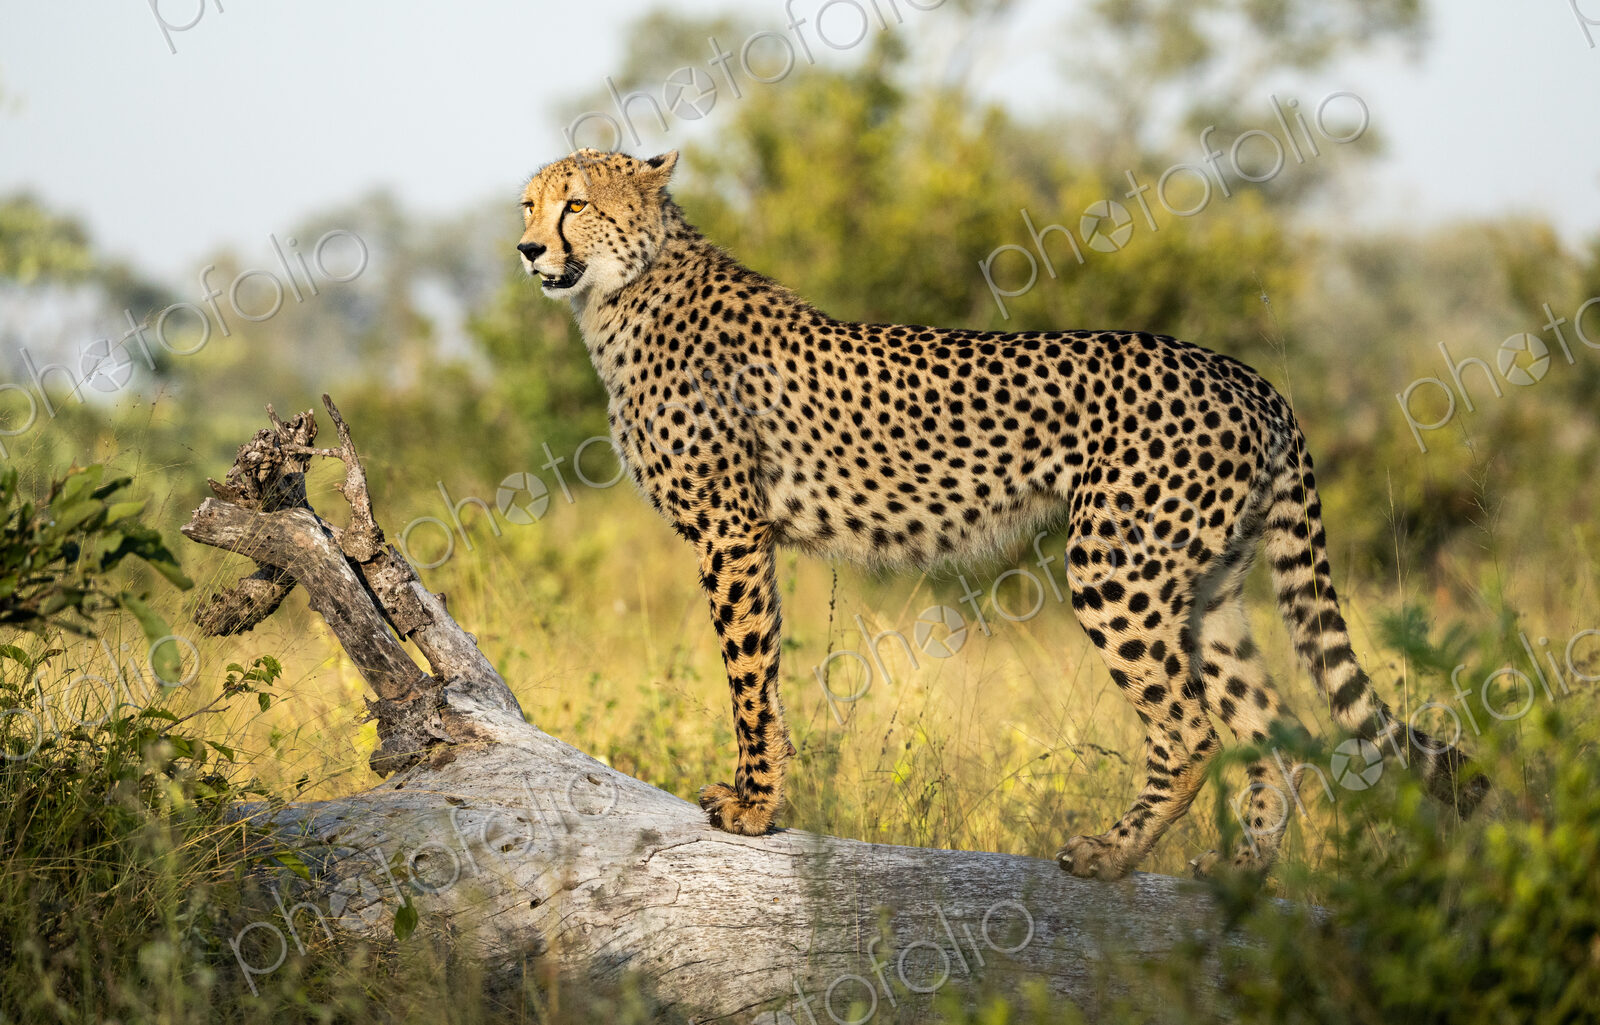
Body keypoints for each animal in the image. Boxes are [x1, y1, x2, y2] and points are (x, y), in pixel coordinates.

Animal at [515, 147, 1489, 880]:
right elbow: (760, 672)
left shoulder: (731, 529)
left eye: (576, 203)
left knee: (1190, 731)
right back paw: (1243, 871)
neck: (623, 291)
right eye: (530, 204)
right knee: (1274, 732)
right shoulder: (744, 532)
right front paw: (758, 795)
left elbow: (749, 675)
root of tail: (1246, 374)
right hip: (1210, 588)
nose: (526, 249)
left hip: (1115, 567)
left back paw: (1111, 854)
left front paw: (754, 804)